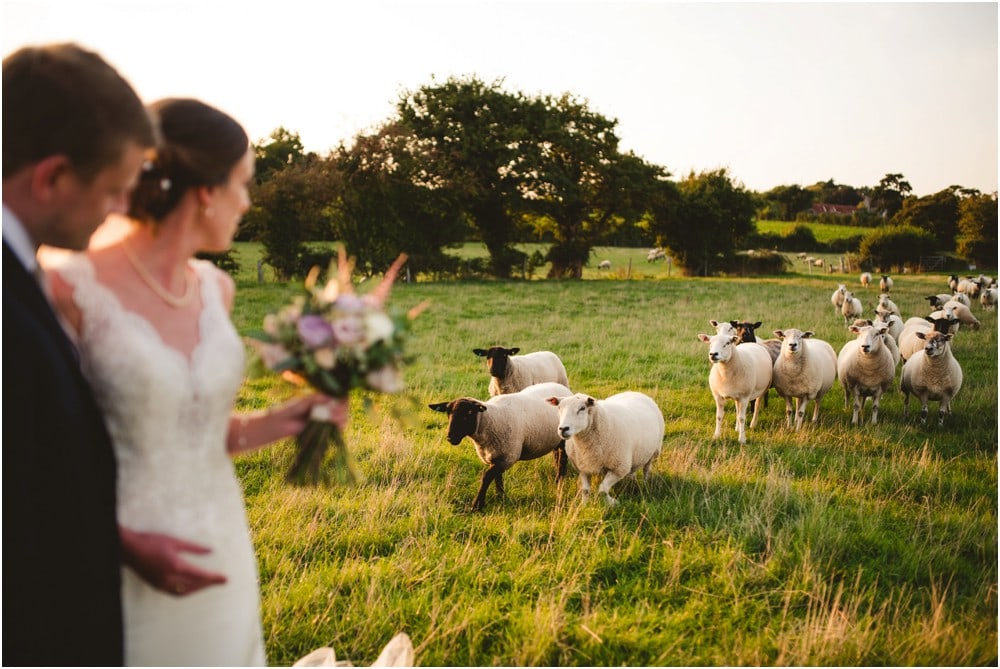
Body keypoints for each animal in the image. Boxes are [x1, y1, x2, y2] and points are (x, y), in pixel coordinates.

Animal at [428, 378, 576, 508]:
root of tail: (562, 388)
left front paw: (477, 505)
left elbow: (486, 477)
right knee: (557, 455)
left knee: (563, 458)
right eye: (448, 413)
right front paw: (500, 497)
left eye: (469, 413)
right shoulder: (496, 456)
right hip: (556, 439)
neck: (489, 421)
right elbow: (497, 479)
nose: (450, 437)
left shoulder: (508, 457)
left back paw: (560, 481)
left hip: (564, 438)